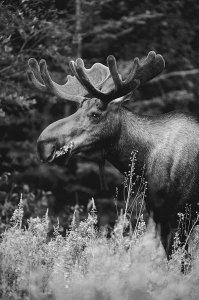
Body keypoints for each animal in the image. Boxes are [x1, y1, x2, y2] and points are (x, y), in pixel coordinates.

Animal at [27, 51, 199, 258]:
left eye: (95, 114)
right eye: (78, 110)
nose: (43, 144)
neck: (145, 163)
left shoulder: (181, 216)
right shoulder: (159, 216)